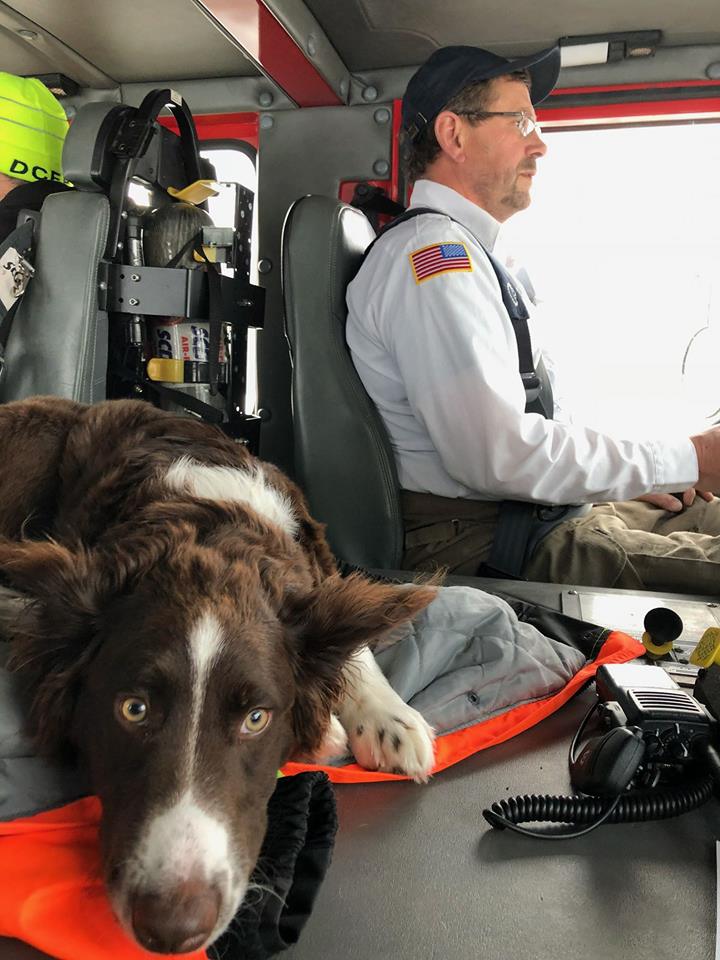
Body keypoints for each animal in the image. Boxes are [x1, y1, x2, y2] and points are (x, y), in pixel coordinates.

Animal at [0, 396, 434, 952]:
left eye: (256, 718)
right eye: (133, 709)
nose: (171, 929)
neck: (210, 524)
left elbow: (349, 639)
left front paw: (390, 720)